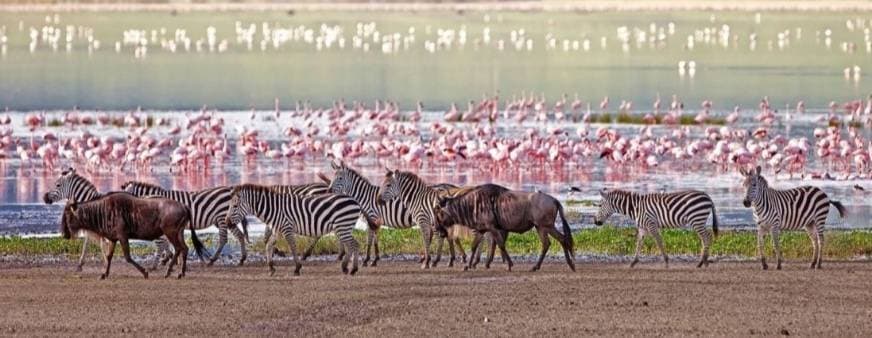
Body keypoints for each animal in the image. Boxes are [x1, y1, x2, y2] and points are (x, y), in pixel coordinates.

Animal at [42, 168, 171, 270]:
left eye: (57, 185)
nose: (44, 198)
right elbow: (87, 244)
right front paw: (80, 265)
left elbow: (101, 244)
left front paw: (105, 263)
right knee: (165, 242)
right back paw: (167, 260)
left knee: (162, 243)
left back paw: (159, 264)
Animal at [121, 181, 249, 266]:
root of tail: (230, 189)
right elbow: (169, 243)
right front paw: (171, 258)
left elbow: (165, 242)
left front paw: (169, 259)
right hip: (227, 220)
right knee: (240, 235)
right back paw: (242, 259)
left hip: (222, 218)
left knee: (223, 239)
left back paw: (212, 260)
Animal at [225, 184, 364, 276]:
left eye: (235, 206)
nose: (227, 222)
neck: (274, 208)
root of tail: (354, 201)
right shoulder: (278, 230)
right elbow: (269, 245)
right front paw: (271, 268)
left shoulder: (287, 228)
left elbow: (292, 247)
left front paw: (297, 268)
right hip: (342, 227)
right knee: (351, 245)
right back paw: (346, 267)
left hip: (343, 226)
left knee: (354, 245)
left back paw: (353, 269)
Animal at [584, 186, 724, 268]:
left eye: (600, 205)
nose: (595, 222)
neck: (635, 207)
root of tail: (707, 196)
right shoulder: (643, 227)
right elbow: (639, 243)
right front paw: (633, 262)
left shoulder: (651, 224)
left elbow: (659, 241)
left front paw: (666, 261)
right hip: (698, 220)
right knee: (705, 238)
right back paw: (703, 261)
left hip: (697, 219)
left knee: (707, 237)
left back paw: (702, 262)